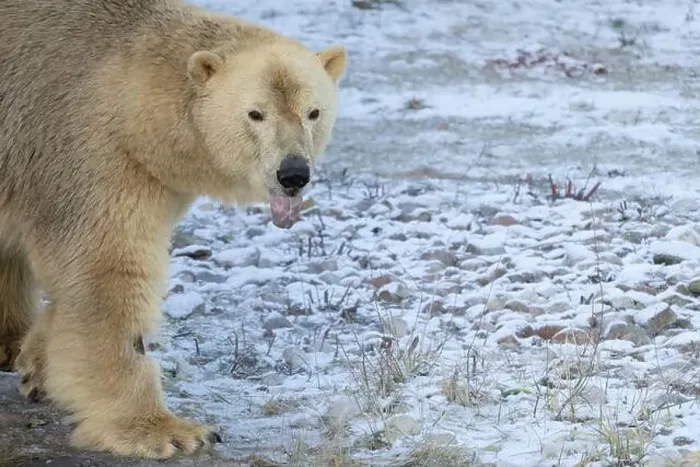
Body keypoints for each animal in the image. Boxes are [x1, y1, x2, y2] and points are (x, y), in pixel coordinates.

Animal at [0, 0, 347, 459]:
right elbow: (107, 273)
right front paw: (168, 431)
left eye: (314, 112)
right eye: (255, 113)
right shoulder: (90, 153)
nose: (293, 174)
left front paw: (36, 365)